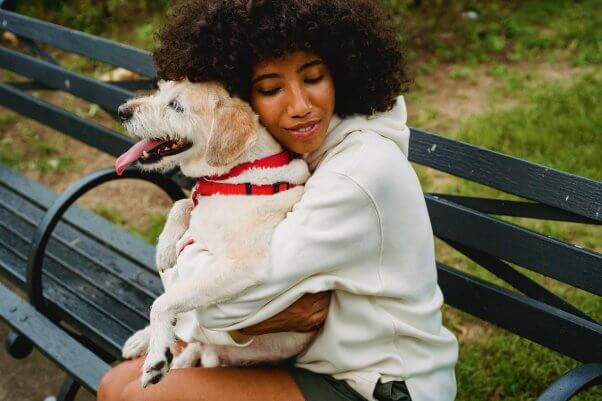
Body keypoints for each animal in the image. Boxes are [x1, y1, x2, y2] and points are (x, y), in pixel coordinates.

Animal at [113, 79, 314, 386]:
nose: (122, 111)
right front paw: (165, 249)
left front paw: (157, 357)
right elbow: (182, 203)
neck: (237, 175)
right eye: (160, 89)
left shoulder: (239, 267)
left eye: (176, 105)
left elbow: (162, 303)